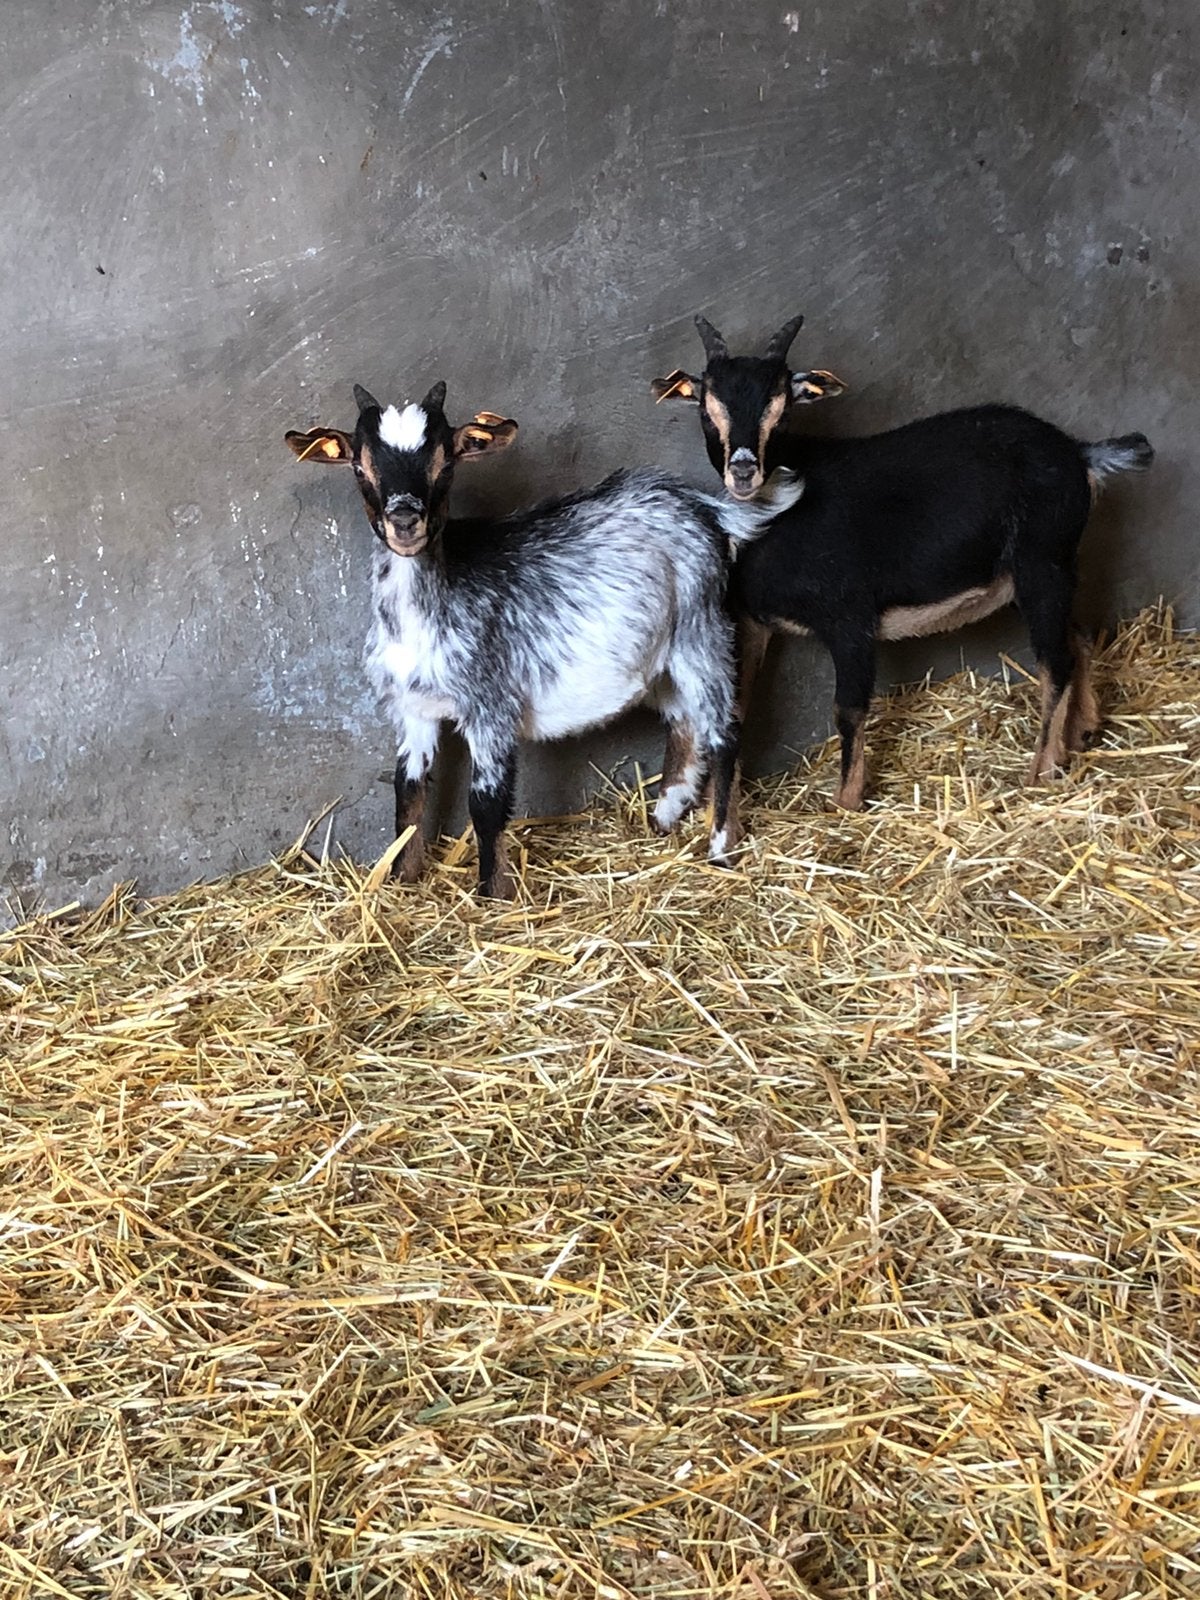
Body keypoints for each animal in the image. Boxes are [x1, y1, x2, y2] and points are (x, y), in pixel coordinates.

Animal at [286, 381, 801, 896]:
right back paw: (665, 813)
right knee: (684, 722)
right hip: (662, 658)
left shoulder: (490, 704)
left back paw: (721, 846)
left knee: (724, 732)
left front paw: (493, 897)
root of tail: (701, 504)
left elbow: (486, 804)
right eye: (359, 466)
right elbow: (408, 793)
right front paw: (402, 882)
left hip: (701, 630)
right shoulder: (411, 709)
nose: (405, 520)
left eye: (446, 462)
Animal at [652, 314, 1154, 808]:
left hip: (1041, 566)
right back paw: (1082, 732)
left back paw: (1041, 772)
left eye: (783, 409)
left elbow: (849, 708)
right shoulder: (754, 621)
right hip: (1040, 575)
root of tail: (1080, 453)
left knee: (1056, 662)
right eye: (706, 407)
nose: (743, 471)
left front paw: (845, 802)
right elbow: (736, 708)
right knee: (1078, 638)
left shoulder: (850, 619)